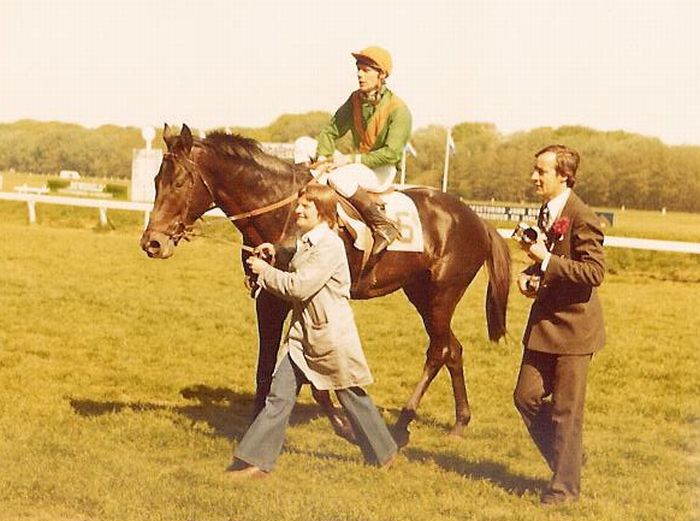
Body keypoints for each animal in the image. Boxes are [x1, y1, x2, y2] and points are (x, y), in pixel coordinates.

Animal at [140, 123, 511, 447]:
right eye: (156, 179)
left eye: (179, 182)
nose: (152, 243)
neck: (284, 211)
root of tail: (476, 219)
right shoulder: (269, 299)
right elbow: (265, 367)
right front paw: (258, 421)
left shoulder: (301, 297)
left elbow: (309, 373)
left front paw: (345, 425)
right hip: (419, 294)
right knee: (453, 349)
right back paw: (460, 421)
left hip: (441, 296)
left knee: (438, 351)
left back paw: (403, 423)